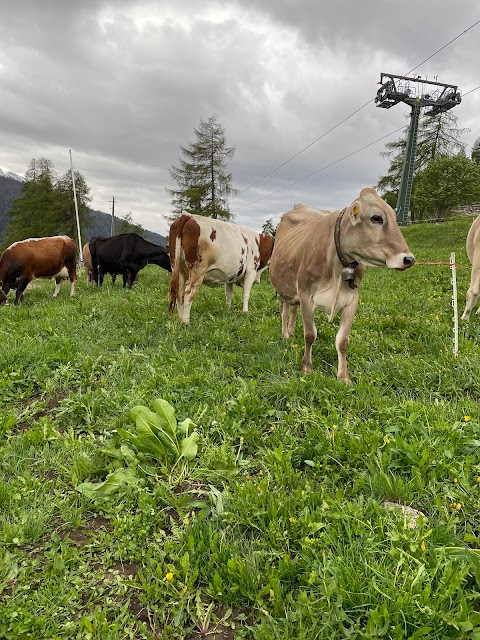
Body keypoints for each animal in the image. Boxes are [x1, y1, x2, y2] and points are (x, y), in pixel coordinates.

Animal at [270, 188, 416, 382]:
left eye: (394, 216)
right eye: (376, 217)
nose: (409, 259)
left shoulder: (351, 301)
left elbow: (343, 341)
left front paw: (343, 376)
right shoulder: (306, 296)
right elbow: (310, 334)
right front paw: (307, 367)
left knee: (293, 309)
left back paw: (292, 332)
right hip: (283, 289)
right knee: (285, 310)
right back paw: (285, 334)